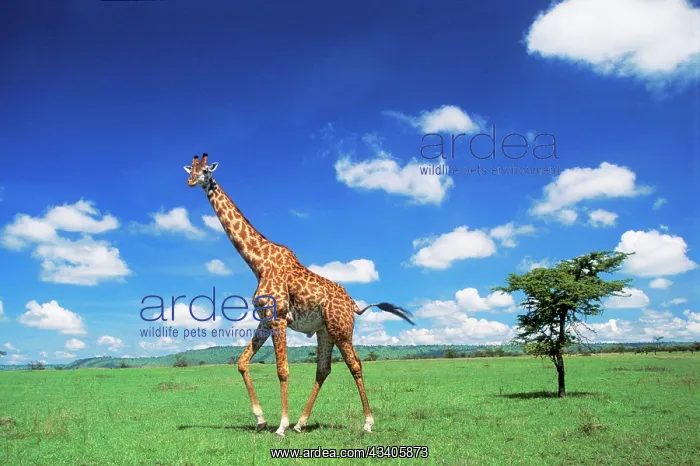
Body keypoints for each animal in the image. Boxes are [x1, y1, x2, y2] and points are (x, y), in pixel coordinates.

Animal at [184, 153, 415, 437]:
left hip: (341, 329)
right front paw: (261, 419)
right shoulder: (265, 319)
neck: (258, 264)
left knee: (355, 365)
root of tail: (352, 303)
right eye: (191, 169)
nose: (191, 181)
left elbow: (282, 370)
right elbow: (241, 362)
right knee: (323, 368)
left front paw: (280, 425)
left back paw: (366, 423)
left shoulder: (279, 318)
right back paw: (301, 423)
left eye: (206, 170)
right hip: (325, 331)